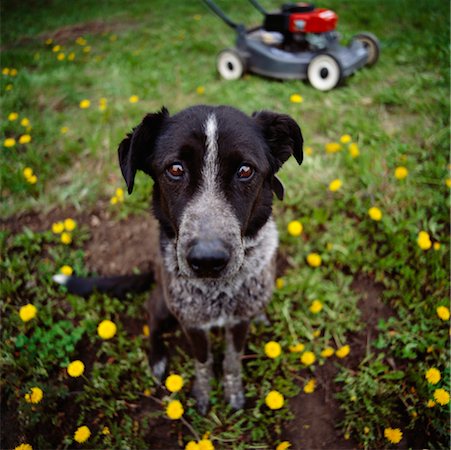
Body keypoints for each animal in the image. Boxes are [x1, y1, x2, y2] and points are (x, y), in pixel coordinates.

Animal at [54, 104, 306, 412]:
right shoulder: (191, 322)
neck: (218, 292)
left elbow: (232, 360)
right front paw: (203, 392)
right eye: (175, 169)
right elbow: (203, 360)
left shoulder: (238, 322)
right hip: (163, 304)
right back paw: (157, 358)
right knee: (151, 316)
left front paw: (232, 392)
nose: (208, 260)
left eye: (245, 170)